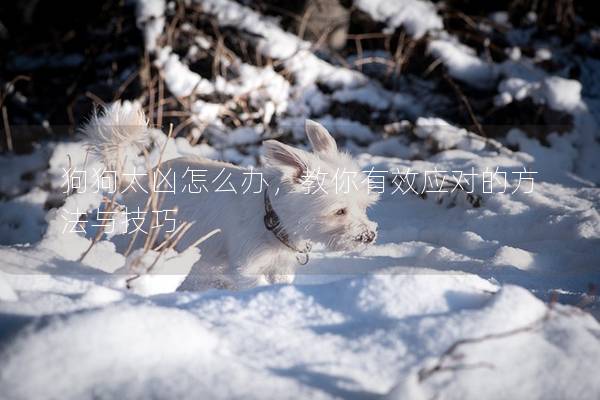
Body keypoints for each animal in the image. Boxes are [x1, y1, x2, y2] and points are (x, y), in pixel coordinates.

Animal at [84, 101, 378, 290]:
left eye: (364, 206)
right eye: (339, 211)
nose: (369, 236)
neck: (272, 219)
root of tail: (136, 184)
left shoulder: (281, 267)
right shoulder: (247, 266)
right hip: (148, 236)